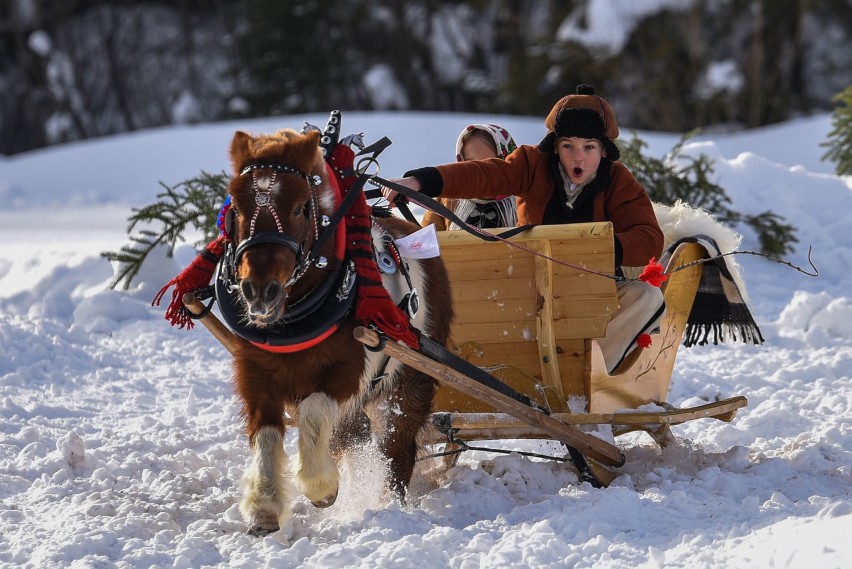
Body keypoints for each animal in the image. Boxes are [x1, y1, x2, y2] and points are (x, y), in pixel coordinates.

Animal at [223, 126, 456, 536]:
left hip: (412, 377)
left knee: (397, 445)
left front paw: (320, 487)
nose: (259, 291)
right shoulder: (252, 370)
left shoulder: (349, 368)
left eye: (300, 207)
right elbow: (266, 432)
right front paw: (264, 506)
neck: (293, 319)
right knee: (354, 437)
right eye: (235, 207)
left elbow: (315, 412)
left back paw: (390, 504)